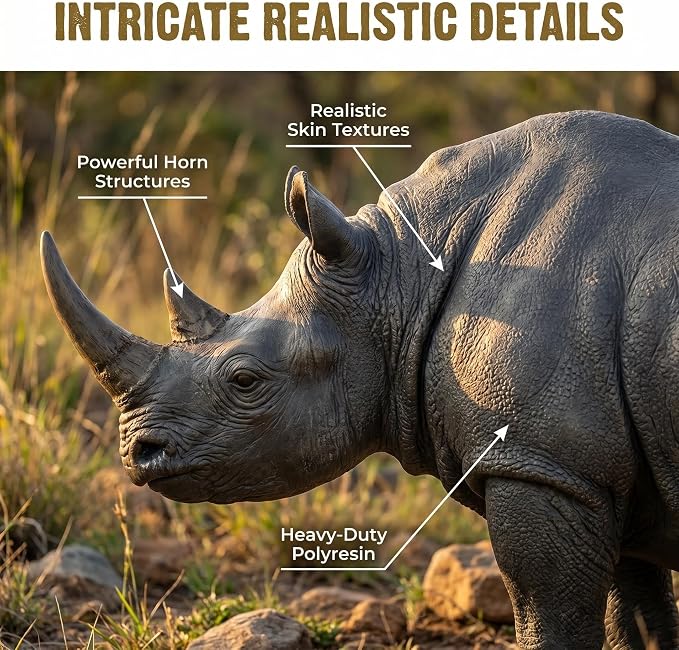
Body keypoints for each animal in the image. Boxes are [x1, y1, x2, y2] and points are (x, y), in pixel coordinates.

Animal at [41, 111, 679, 649]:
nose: (136, 453)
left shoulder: (543, 462)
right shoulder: (594, 472)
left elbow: (550, 616)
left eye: (244, 380)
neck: (401, 272)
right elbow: (635, 611)